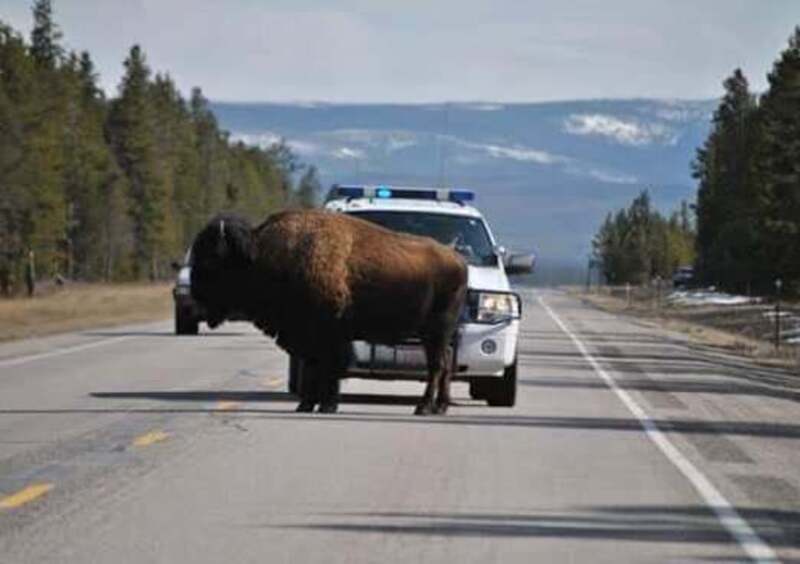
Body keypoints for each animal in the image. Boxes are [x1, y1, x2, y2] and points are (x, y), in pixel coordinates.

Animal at [190, 210, 466, 414]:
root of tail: (458, 260)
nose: (194, 298)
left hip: (436, 331)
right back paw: (439, 408)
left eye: (211, 260)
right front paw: (305, 405)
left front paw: (326, 405)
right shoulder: (307, 336)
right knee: (444, 366)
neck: (262, 255)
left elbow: (328, 368)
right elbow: (314, 367)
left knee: (437, 367)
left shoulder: (329, 335)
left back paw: (423, 408)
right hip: (436, 336)